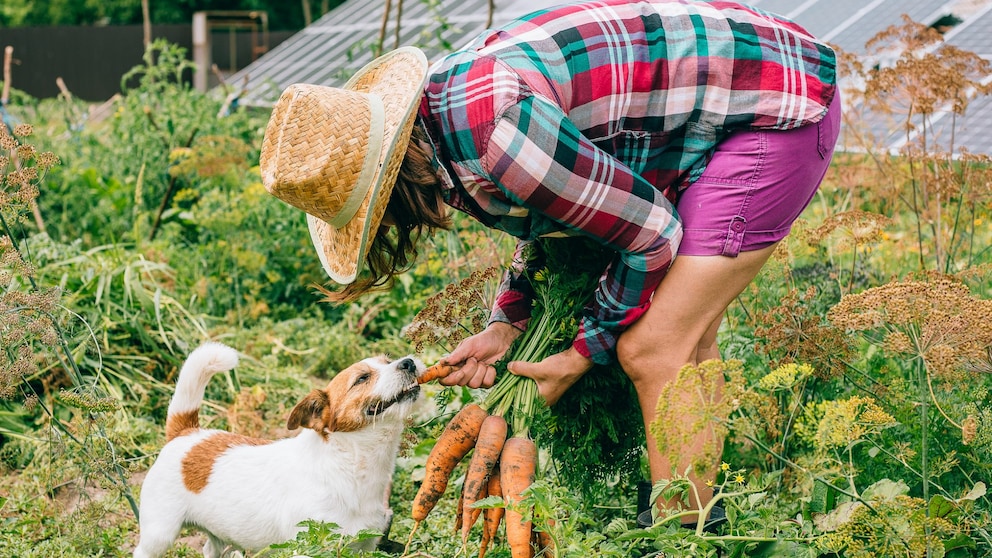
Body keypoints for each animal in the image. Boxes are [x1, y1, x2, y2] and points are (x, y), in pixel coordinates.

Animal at [133, 342, 422, 558]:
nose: (408, 362)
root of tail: (187, 432)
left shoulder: (365, 546)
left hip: (218, 533)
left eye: (388, 360)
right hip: (159, 534)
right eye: (362, 378)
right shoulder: (309, 545)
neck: (349, 465)